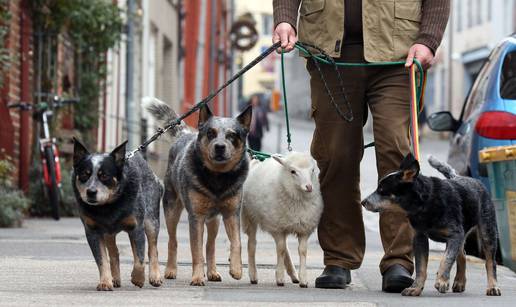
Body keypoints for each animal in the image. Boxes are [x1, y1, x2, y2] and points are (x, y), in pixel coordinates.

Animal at [71, 138, 162, 292]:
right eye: (84, 174)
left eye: (104, 175)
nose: (91, 192)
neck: (108, 207)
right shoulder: (93, 232)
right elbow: (102, 260)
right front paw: (105, 282)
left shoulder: (136, 227)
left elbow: (140, 258)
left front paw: (138, 278)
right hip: (108, 233)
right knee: (114, 253)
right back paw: (115, 279)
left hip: (151, 220)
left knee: (152, 249)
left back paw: (155, 276)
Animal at [145, 97, 252, 286]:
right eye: (211, 133)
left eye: (232, 135)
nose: (219, 147)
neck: (217, 178)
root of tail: (184, 134)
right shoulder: (196, 217)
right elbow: (196, 251)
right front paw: (196, 277)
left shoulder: (231, 213)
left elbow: (236, 242)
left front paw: (236, 269)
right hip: (171, 210)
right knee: (173, 240)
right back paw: (171, 270)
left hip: (214, 220)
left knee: (210, 245)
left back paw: (213, 272)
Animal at [242, 152, 322, 288]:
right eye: (293, 171)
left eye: (312, 170)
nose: (309, 187)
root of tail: (257, 161)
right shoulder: (278, 228)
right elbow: (280, 250)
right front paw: (279, 277)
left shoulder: (304, 228)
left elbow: (302, 251)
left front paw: (303, 279)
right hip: (250, 216)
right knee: (252, 244)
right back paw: (253, 275)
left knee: (286, 249)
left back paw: (294, 275)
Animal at [360, 155, 502, 298]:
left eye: (381, 190)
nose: (363, 202)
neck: (426, 203)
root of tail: (459, 176)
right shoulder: (420, 238)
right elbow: (421, 267)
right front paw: (415, 288)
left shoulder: (455, 235)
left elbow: (446, 258)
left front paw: (442, 281)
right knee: (462, 254)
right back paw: (459, 282)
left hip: (487, 230)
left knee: (490, 261)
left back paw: (493, 287)